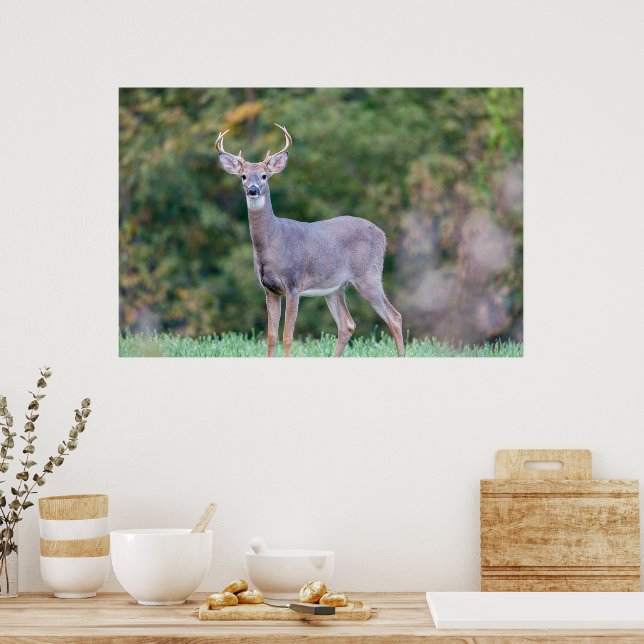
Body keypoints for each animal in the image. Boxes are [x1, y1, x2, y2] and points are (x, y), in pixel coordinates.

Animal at [216, 123, 404, 358]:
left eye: (264, 176)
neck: (272, 243)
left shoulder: (293, 284)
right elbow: (271, 337)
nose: (253, 190)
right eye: (242, 176)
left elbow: (287, 336)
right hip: (335, 287)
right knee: (347, 324)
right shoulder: (269, 289)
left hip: (369, 274)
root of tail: (382, 234)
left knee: (394, 317)